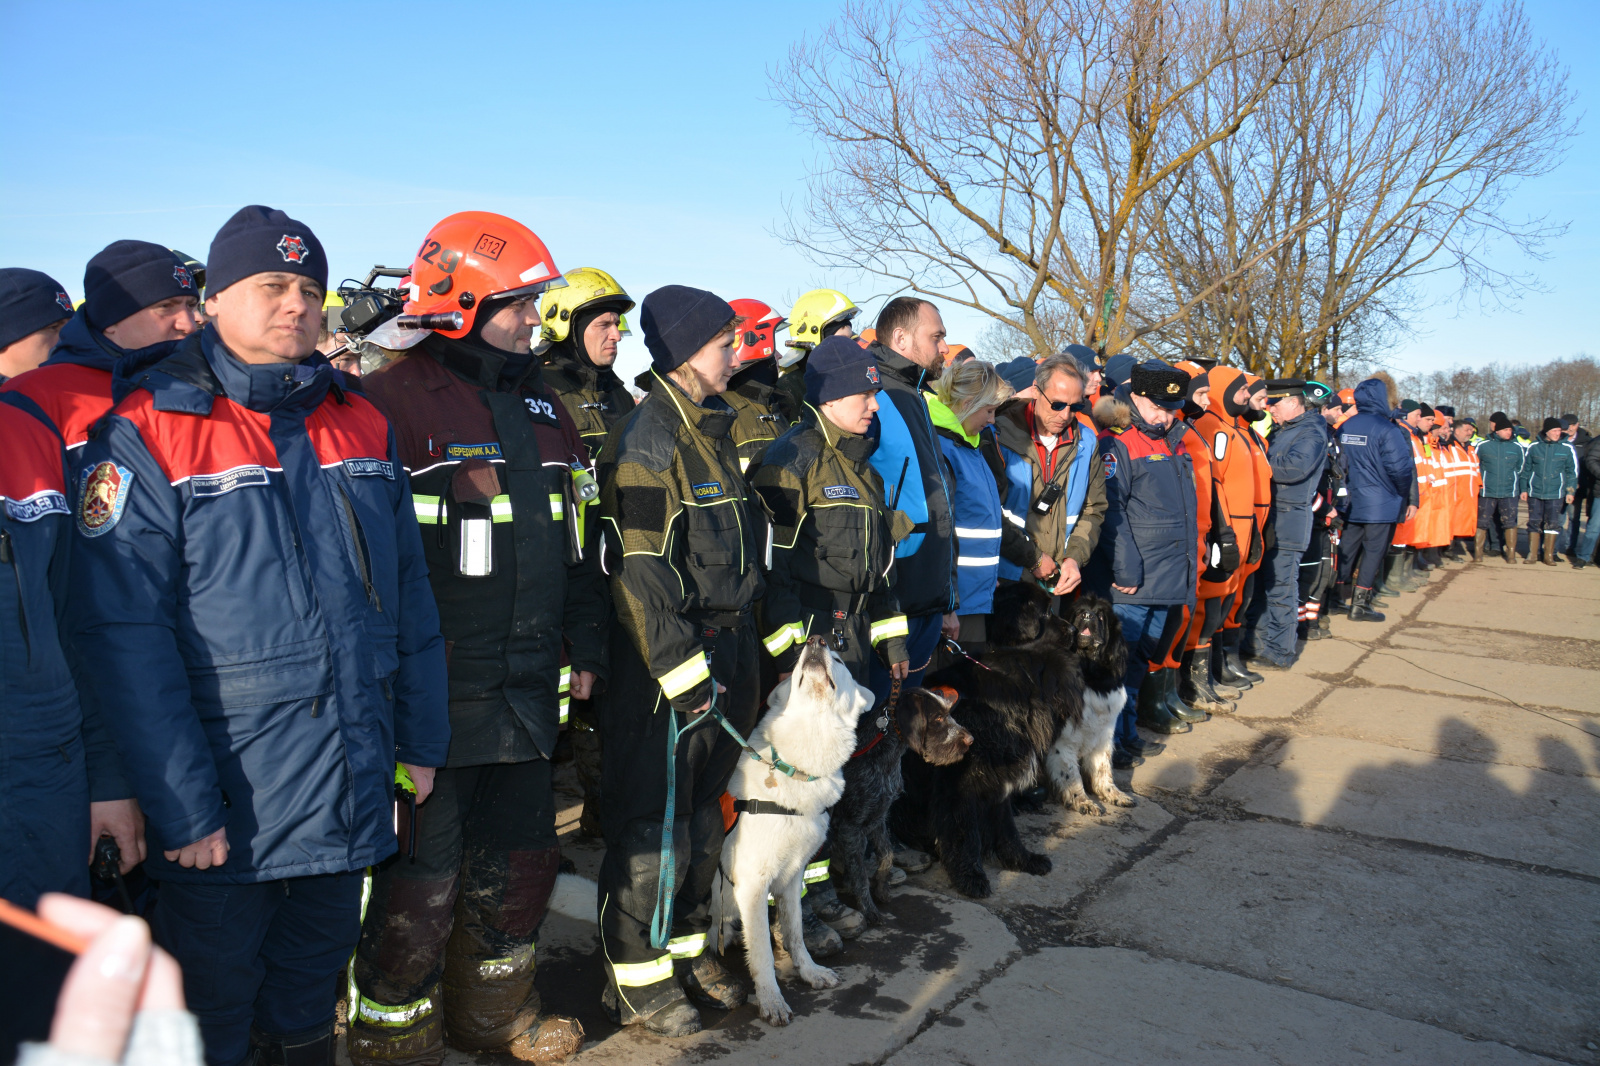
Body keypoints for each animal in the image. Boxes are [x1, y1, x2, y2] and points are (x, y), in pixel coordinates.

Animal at [710, 633, 870, 1017]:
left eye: (838, 660)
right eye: (798, 662)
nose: (816, 639)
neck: (795, 765)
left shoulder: (793, 876)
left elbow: (795, 931)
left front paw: (808, 971)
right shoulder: (753, 884)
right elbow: (763, 953)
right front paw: (771, 998)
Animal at [832, 685, 966, 915]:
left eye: (948, 714)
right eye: (938, 718)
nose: (970, 740)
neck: (885, 759)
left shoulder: (877, 818)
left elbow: (887, 856)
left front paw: (881, 888)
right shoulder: (850, 826)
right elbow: (860, 874)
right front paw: (869, 909)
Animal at [896, 582, 1132, 896]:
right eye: (1047, 611)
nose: (1073, 626)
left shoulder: (997, 777)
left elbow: (1006, 827)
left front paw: (1022, 860)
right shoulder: (957, 785)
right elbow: (963, 835)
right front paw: (971, 877)